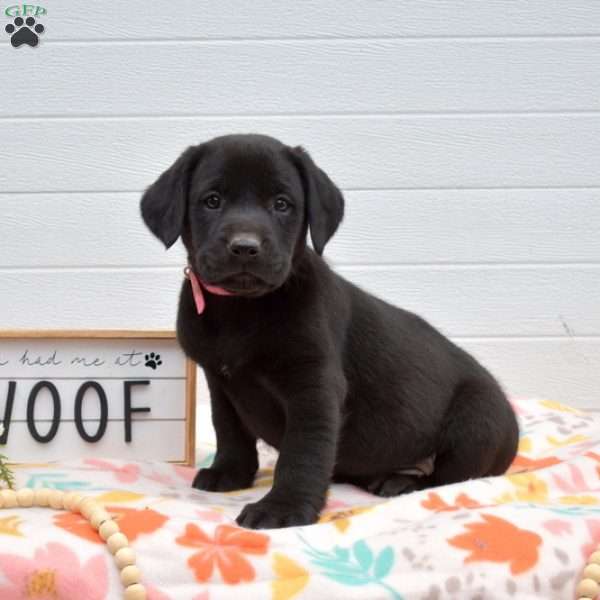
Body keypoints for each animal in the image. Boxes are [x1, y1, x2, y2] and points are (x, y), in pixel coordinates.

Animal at [142, 135, 520, 528]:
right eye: (212, 200)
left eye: (282, 204)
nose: (245, 247)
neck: (242, 309)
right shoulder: (220, 382)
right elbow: (230, 431)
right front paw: (230, 473)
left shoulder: (314, 388)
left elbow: (302, 453)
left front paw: (284, 507)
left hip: (478, 420)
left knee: (449, 477)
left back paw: (400, 482)